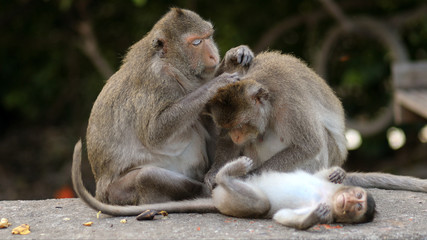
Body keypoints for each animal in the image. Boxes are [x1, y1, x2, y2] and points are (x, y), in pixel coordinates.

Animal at [72, 8, 254, 207]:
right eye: (196, 42)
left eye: (208, 37)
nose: (213, 55)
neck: (171, 64)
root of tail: (100, 191)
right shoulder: (157, 81)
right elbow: (154, 132)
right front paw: (216, 83)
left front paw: (235, 56)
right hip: (116, 193)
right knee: (146, 176)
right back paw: (208, 188)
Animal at [206, 51, 427, 193]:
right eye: (228, 128)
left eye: (240, 126)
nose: (236, 135)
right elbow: (227, 144)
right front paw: (213, 172)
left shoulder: (290, 106)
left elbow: (309, 145)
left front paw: (249, 176)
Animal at [212, 157, 376, 230]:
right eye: (358, 197)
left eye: (358, 207)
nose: (350, 201)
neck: (331, 197)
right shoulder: (329, 186)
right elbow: (318, 176)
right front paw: (338, 172)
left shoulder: (330, 213)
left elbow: (283, 215)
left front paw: (311, 219)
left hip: (230, 201)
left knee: (263, 204)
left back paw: (223, 176)